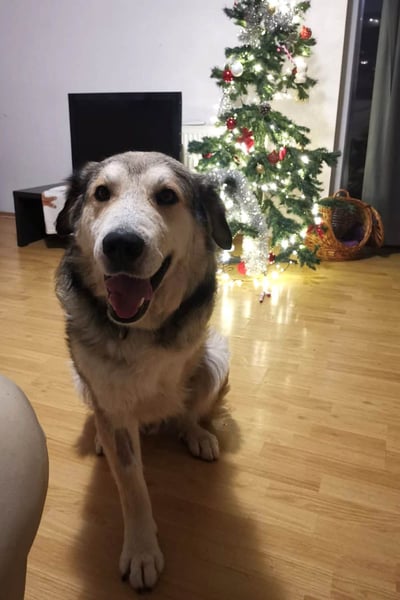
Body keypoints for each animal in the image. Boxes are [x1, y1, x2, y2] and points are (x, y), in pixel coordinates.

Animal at [55, 151, 232, 591]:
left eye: (167, 196)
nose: (120, 244)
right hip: (80, 378)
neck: (138, 326)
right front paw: (141, 551)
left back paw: (195, 434)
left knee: (187, 411)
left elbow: (177, 389)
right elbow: (132, 486)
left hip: (218, 357)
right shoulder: (111, 404)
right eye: (102, 193)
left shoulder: (192, 352)